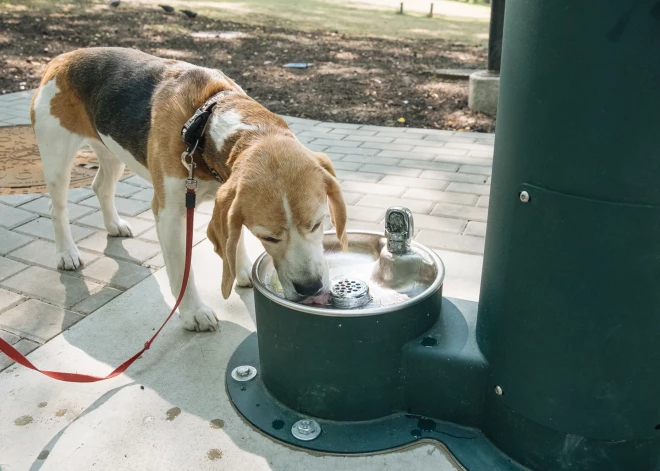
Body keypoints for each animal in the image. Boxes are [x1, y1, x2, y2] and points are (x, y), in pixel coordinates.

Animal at [31, 47, 348, 332]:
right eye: (268, 237)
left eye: (318, 223)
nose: (310, 287)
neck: (204, 124)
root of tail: (63, 58)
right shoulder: (170, 213)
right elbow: (182, 268)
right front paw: (194, 313)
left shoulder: (226, 196)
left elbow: (233, 234)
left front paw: (241, 269)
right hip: (57, 156)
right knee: (56, 206)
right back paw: (66, 253)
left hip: (111, 151)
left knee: (100, 187)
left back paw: (114, 225)